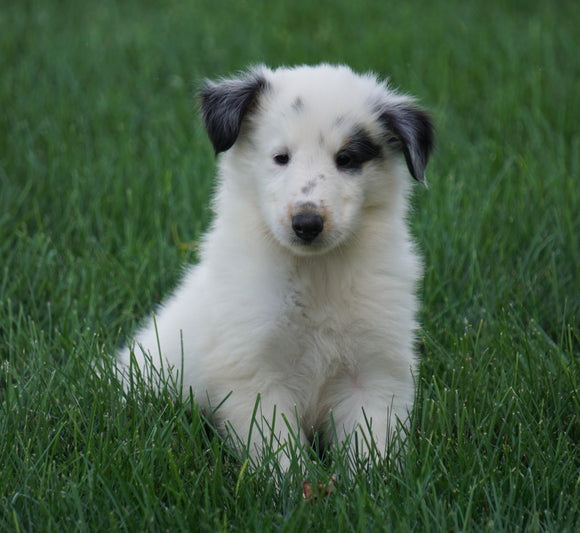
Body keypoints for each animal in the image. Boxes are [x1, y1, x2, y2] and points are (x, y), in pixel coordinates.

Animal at [118, 63, 432, 470]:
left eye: (347, 159)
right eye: (281, 157)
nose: (307, 224)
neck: (317, 274)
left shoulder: (374, 371)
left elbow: (371, 443)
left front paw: (373, 481)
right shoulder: (254, 374)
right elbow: (278, 451)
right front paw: (298, 485)